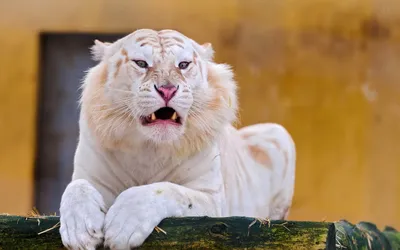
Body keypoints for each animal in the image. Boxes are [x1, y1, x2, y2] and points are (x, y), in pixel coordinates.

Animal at [60, 28, 296, 249]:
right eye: (141, 63)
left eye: (183, 64)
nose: (167, 90)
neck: (149, 148)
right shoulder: (91, 175)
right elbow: (76, 187)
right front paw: (79, 231)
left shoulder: (213, 199)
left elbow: (170, 191)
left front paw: (123, 225)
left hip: (278, 134)